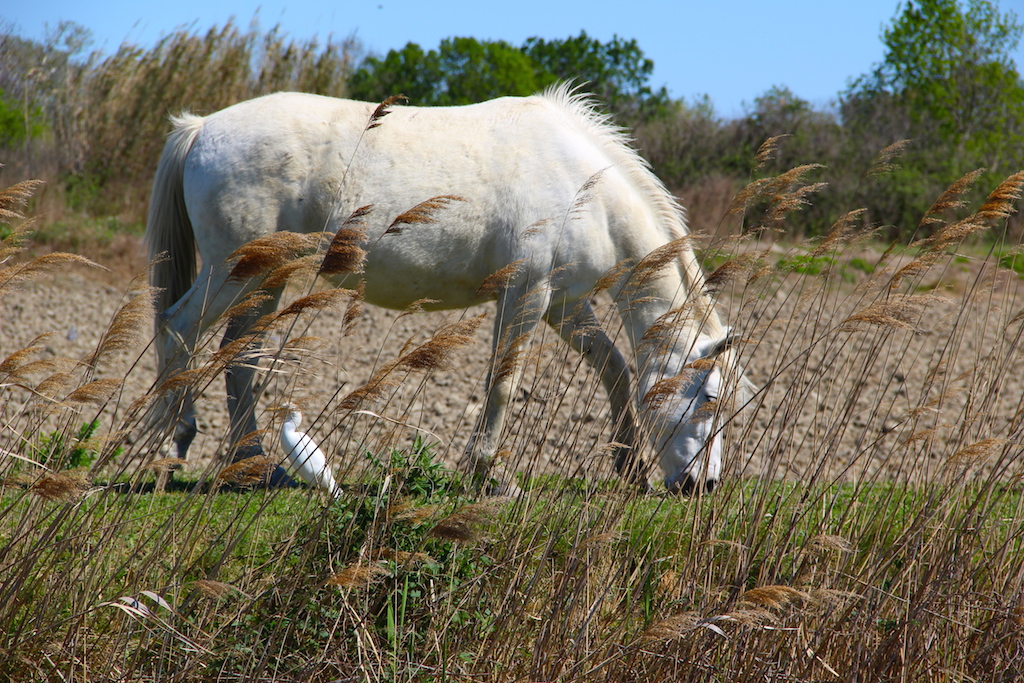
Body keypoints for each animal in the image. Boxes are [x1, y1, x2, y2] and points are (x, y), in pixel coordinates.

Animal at [145, 84, 749, 494]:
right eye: (710, 398)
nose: (703, 486)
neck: (584, 187)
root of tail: (201, 126)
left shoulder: (565, 305)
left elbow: (615, 370)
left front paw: (629, 466)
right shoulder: (525, 295)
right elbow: (502, 383)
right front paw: (488, 475)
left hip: (266, 280)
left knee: (238, 357)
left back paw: (255, 464)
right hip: (234, 273)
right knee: (179, 328)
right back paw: (177, 440)